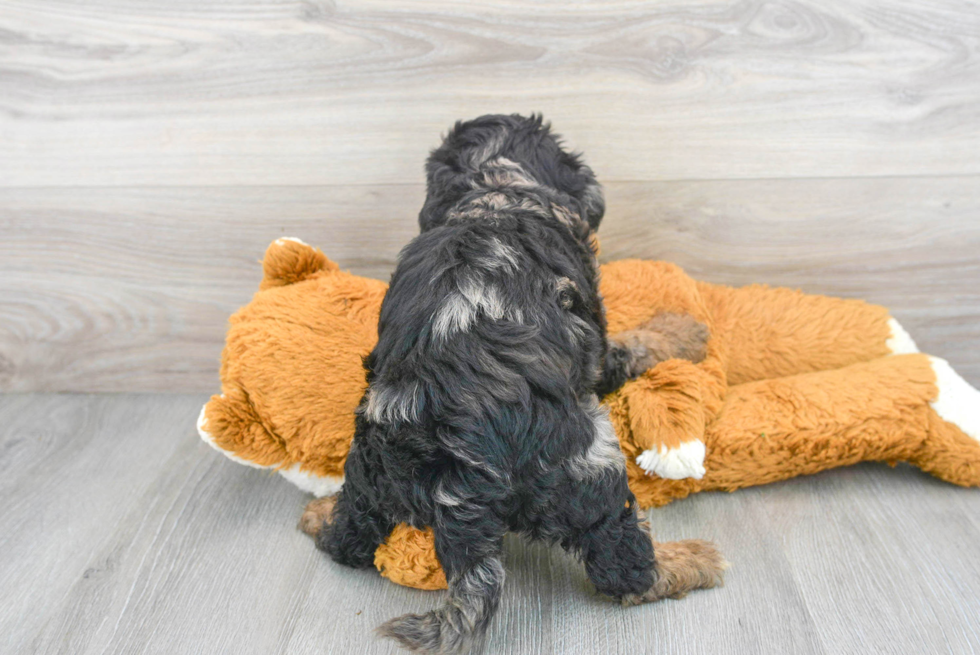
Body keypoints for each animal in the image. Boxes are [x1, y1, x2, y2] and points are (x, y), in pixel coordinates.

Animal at [306, 115, 728, 652]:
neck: (493, 188)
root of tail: (456, 483)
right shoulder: (593, 349)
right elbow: (635, 345)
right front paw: (684, 330)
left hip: (368, 465)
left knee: (352, 535)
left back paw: (321, 514)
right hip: (587, 461)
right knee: (621, 565)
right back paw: (689, 560)